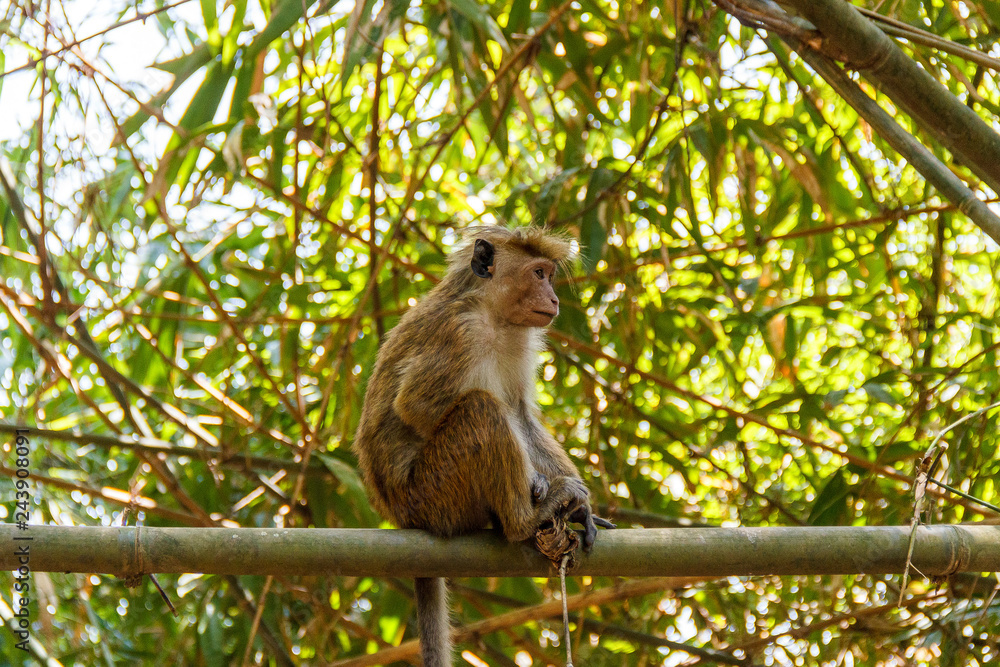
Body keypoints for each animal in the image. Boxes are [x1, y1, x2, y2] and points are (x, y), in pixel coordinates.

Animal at [353, 225, 613, 667]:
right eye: (538, 273)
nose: (554, 299)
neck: (494, 314)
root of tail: (402, 516)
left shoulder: (521, 342)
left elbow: (522, 415)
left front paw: (583, 507)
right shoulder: (461, 332)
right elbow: (416, 406)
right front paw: (541, 486)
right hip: (434, 494)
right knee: (480, 408)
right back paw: (524, 519)